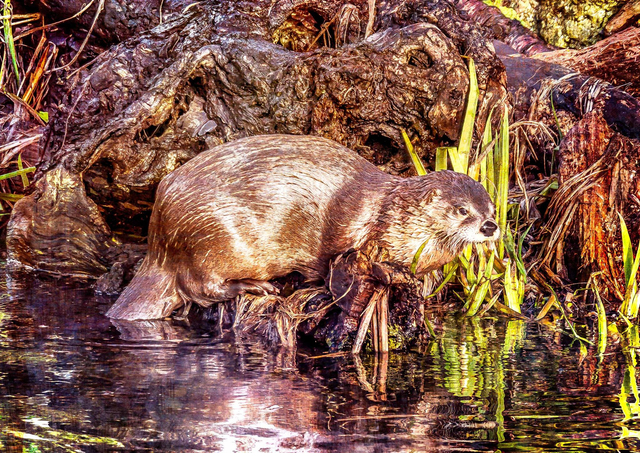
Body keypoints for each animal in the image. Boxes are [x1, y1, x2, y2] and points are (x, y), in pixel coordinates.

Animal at [107, 134, 499, 320]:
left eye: (491, 206)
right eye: (462, 210)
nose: (490, 227)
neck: (390, 215)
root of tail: (159, 234)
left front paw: (425, 281)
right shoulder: (353, 231)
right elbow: (336, 262)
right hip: (215, 234)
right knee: (200, 287)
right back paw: (258, 286)